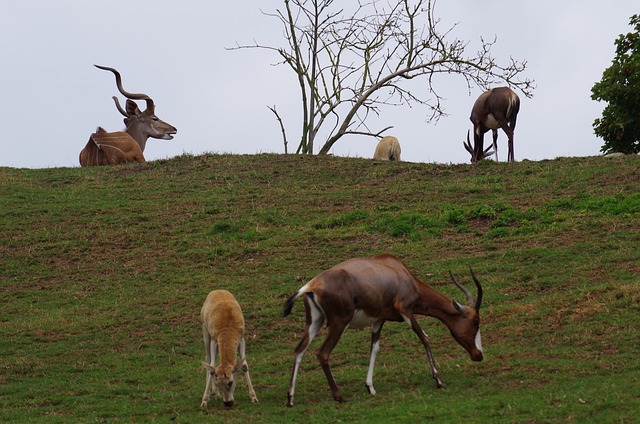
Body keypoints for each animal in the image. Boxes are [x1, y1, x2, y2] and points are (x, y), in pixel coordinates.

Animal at [282, 253, 482, 406]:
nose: (478, 355)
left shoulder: (378, 320)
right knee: (323, 353)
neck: (397, 270)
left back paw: (291, 399)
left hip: (314, 322)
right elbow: (424, 337)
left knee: (299, 350)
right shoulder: (406, 311)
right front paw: (440, 381)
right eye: (475, 322)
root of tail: (312, 285)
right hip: (339, 322)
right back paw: (339, 397)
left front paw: (370, 387)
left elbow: (374, 348)